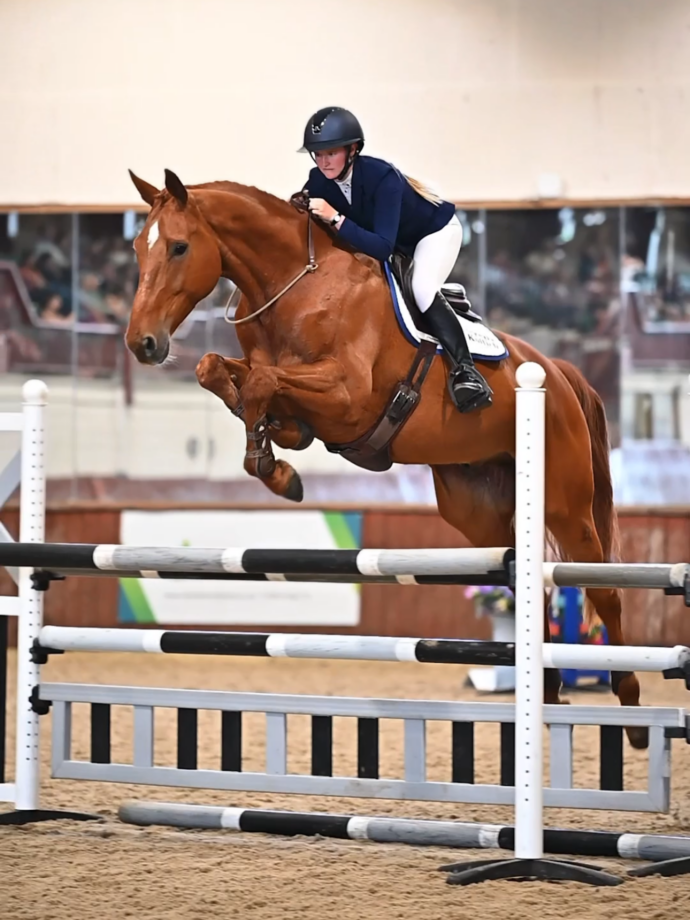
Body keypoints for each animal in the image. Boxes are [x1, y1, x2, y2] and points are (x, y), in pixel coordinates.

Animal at [124, 168, 646, 748]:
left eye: (179, 246)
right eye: (137, 248)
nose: (142, 343)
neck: (292, 284)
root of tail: (556, 370)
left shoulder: (346, 396)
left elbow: (261, 382)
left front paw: (272, 459)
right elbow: (218, 369)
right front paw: (275, 452)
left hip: (566, 504)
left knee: (604, 586)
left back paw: (629, 703)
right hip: (479, 511)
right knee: (530, 585)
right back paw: (549, 689)